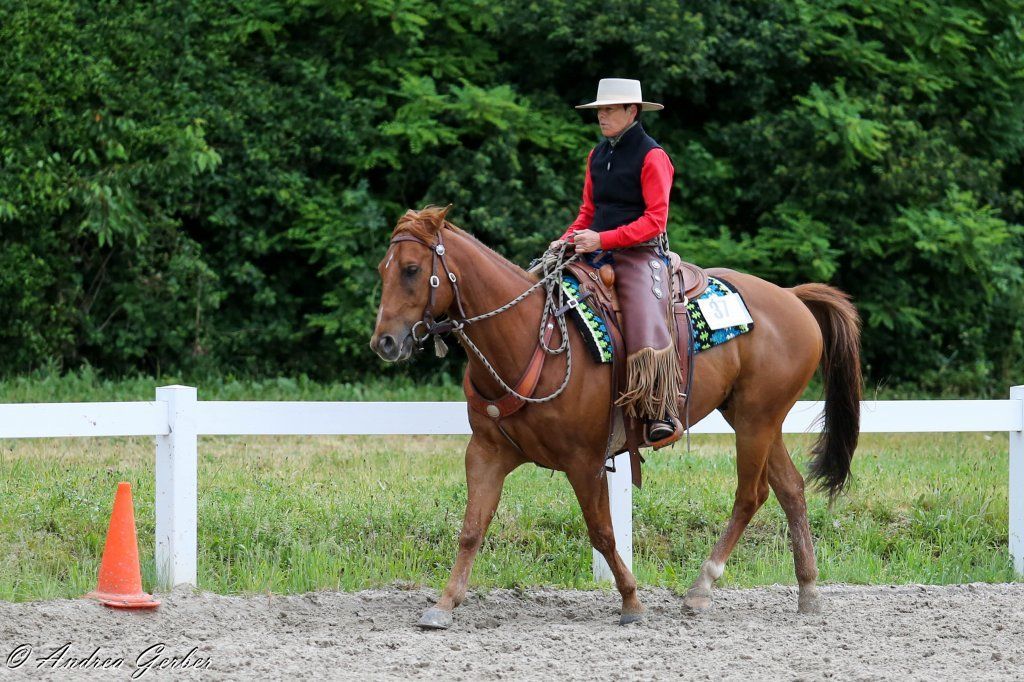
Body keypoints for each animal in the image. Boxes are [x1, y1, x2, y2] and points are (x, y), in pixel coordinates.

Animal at [370, 205, 861, 628]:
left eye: (411, 269)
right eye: (383, 269)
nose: (385, 343)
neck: (527, 336)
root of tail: (791, 297)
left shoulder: (583, 461)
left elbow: (602, 531)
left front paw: (631, 599)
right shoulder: (486, 453)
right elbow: (472, 529)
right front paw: (444, 604)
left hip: (757, 422)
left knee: (750, 495)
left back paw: (701, 588)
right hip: (755, 418)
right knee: (790, 490)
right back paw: (808, 591)